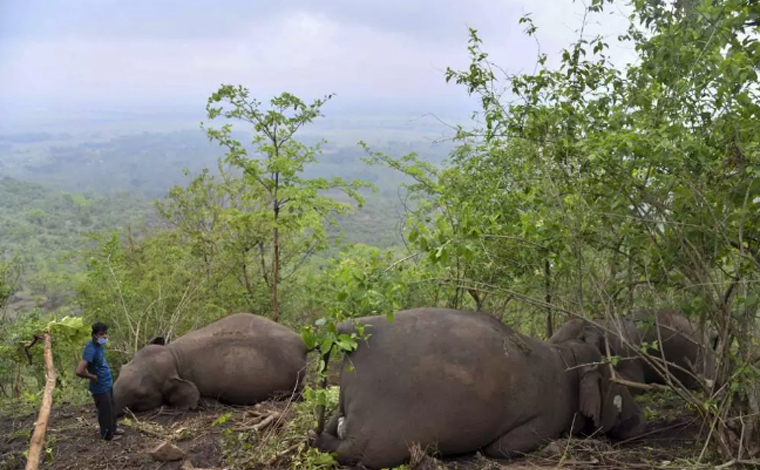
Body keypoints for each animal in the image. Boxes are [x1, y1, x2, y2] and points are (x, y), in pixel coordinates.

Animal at [312, 306, 644, 468]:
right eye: (614, 381)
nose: (639, 417)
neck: (568, 357)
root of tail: (349, 328)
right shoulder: (546, 419)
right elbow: (502, 447)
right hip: (380, 439)